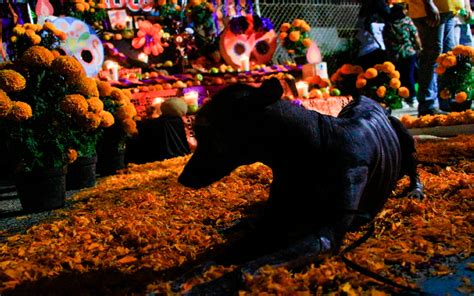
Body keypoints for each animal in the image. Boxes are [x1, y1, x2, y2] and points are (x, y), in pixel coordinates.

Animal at [180, 77, 424, 292]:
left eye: (206, 132)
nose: (181, 179)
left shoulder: (323, 236)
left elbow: (248, 268)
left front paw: (206, 287)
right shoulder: (271, 225)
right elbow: (227, 252)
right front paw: (194, 273)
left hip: (402, 132)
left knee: (414, 167)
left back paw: (415, 191)